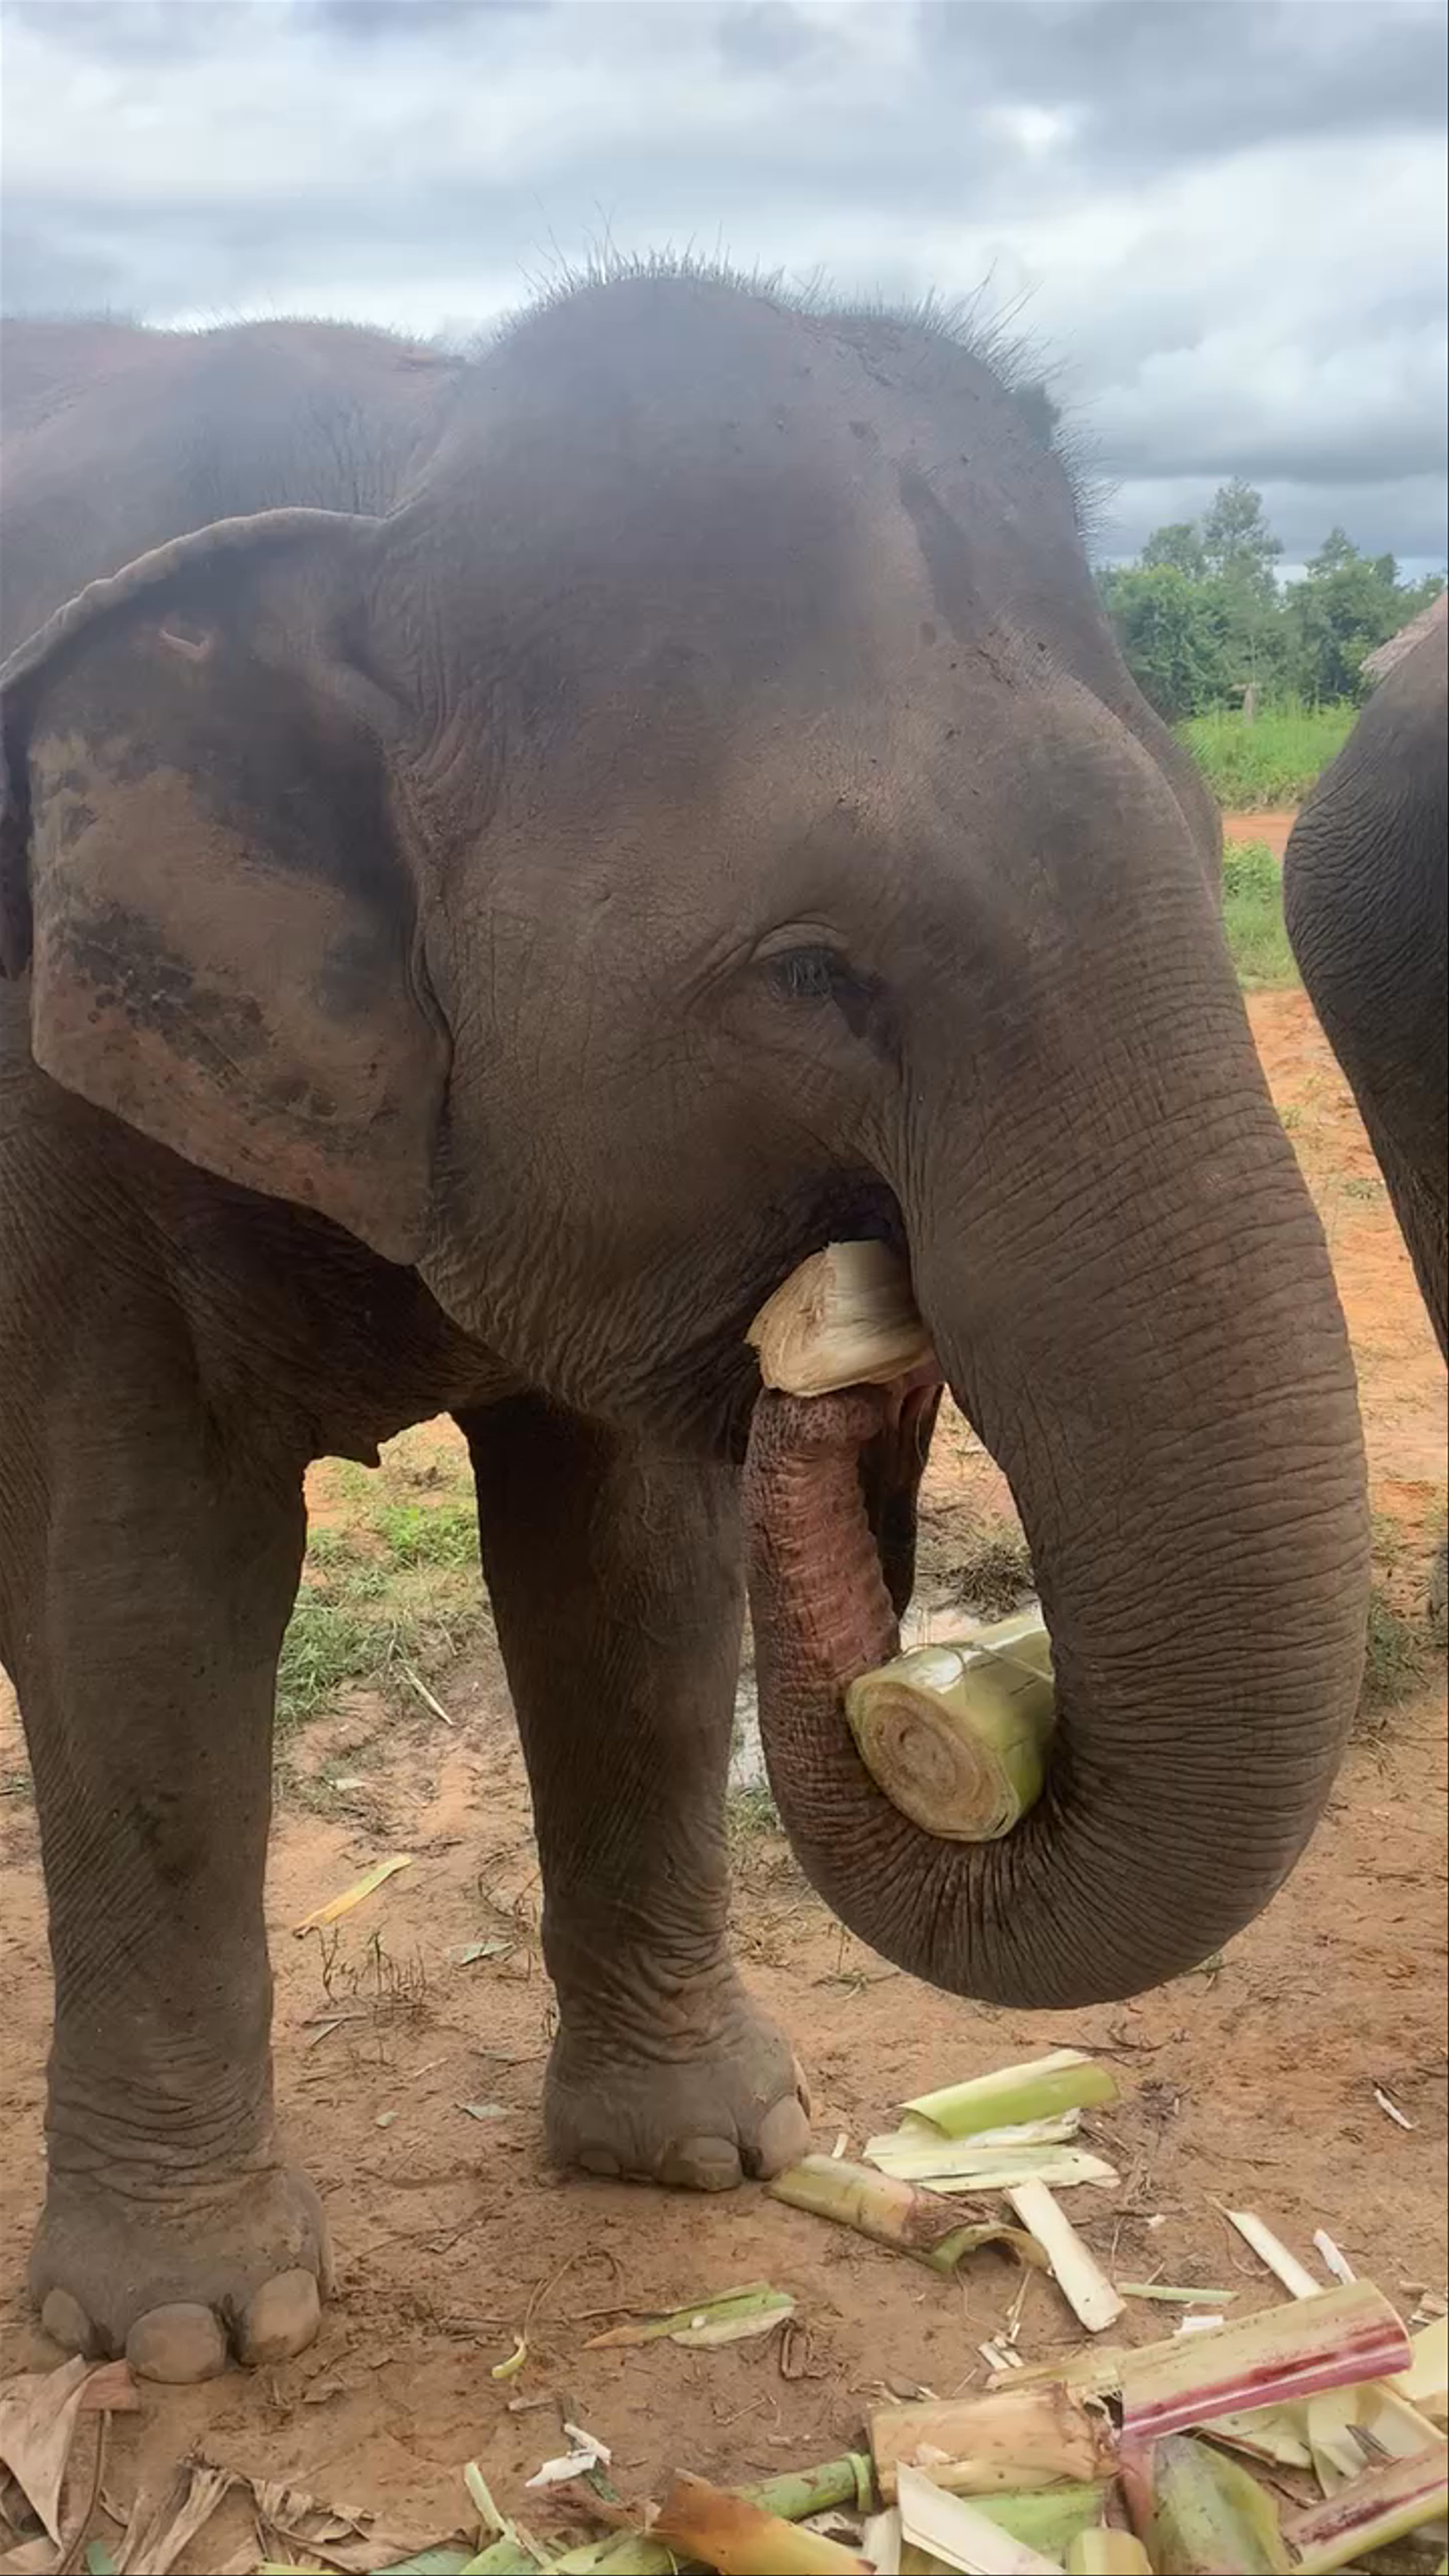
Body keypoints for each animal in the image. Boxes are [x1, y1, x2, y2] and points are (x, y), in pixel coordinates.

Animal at [0, 271, 1369, 2384]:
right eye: (809, 973)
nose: (846, 1347)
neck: (397, 465)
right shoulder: (47, 1096)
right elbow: (133, 1594)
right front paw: (187, 2338)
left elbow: (632, 1579)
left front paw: (717, 2158)